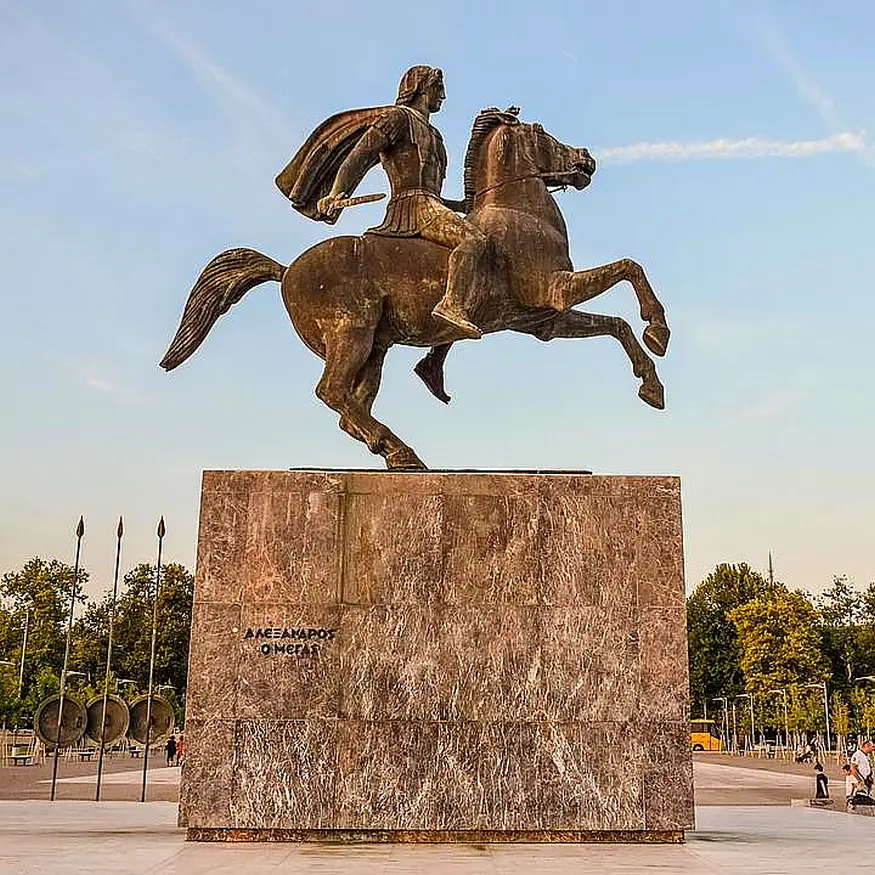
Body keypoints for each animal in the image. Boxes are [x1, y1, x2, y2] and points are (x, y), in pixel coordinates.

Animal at [161, 110, 672, 472]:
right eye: (542, 132)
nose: (587, 160)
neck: (519, 211)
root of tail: (286, 270)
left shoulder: (544, 319)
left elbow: (617, 325)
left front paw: (652, 382)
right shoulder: (557, 291)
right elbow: (630, 268)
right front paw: (660, 331)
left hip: (376, 347)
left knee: (351, 406)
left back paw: (394, 446)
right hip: (352, 333)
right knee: (332, 391)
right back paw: (402, 451)